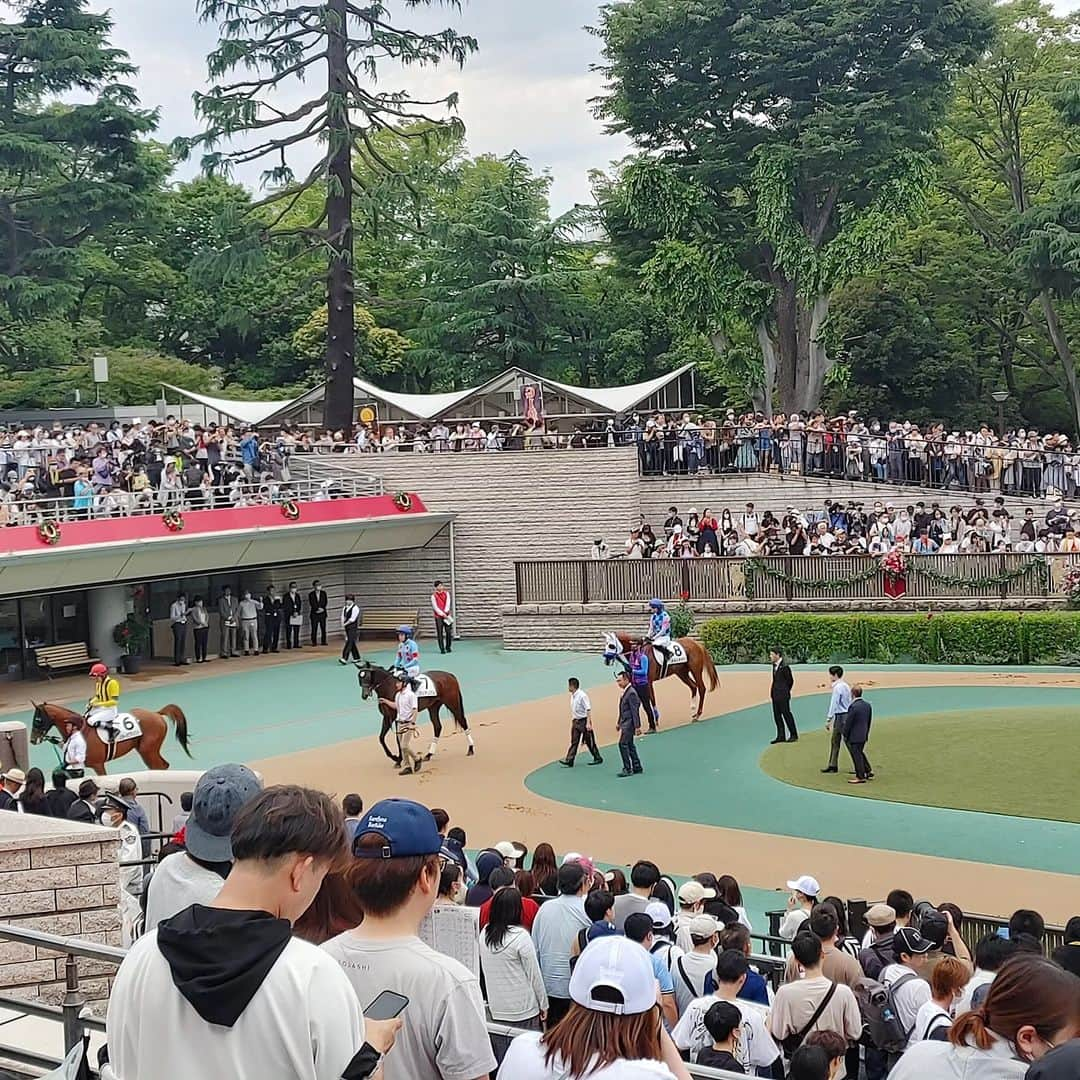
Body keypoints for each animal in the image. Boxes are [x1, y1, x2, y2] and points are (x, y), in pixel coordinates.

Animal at [30, 699, 192, 777]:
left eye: (38, 720)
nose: (32, 740)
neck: (80, 730)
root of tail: (156, 713)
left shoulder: (98, 765)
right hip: (146, 751)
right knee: (161, 766)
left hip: (148, 751)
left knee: (159, 766)